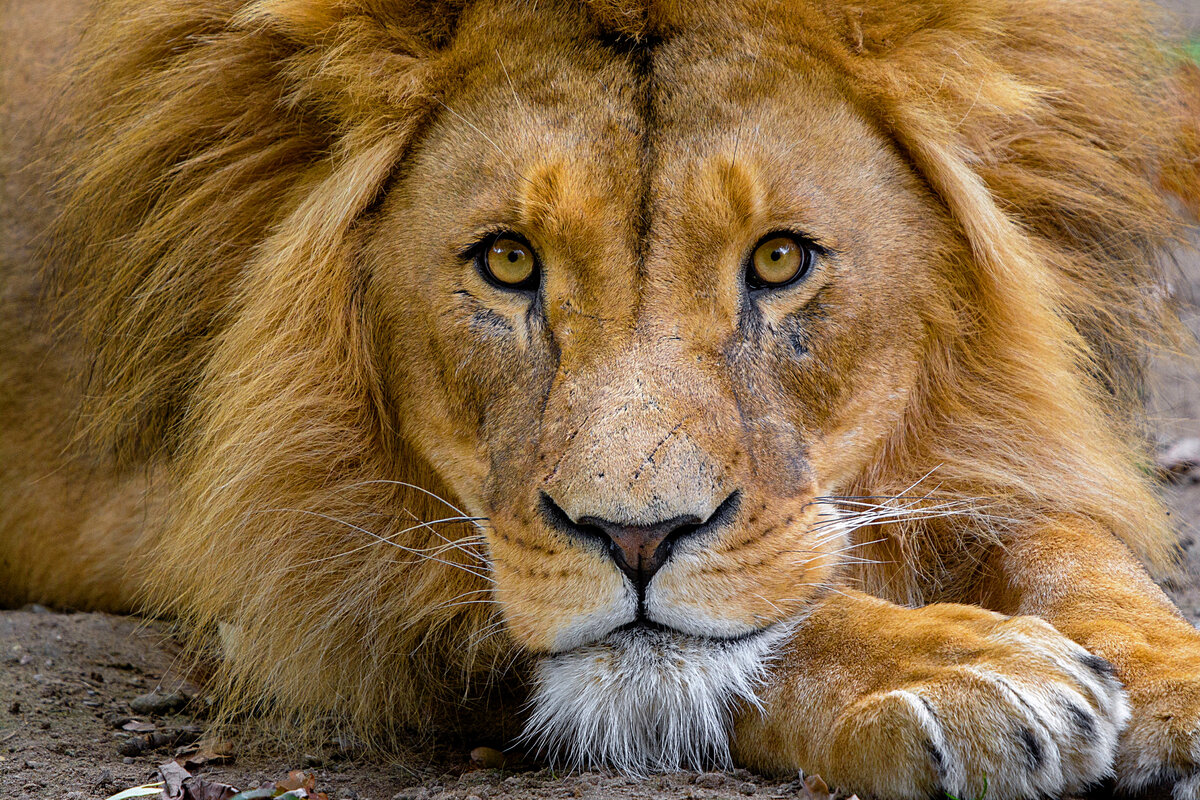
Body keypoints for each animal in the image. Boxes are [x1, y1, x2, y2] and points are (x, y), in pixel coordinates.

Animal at [2, 0, 1200, 796]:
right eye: (507, 263)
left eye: (778, 260)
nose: (637, 538)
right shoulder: (296, 564)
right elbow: (759, 632)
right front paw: (961, 669)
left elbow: (1067, 541)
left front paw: (1170, 675)